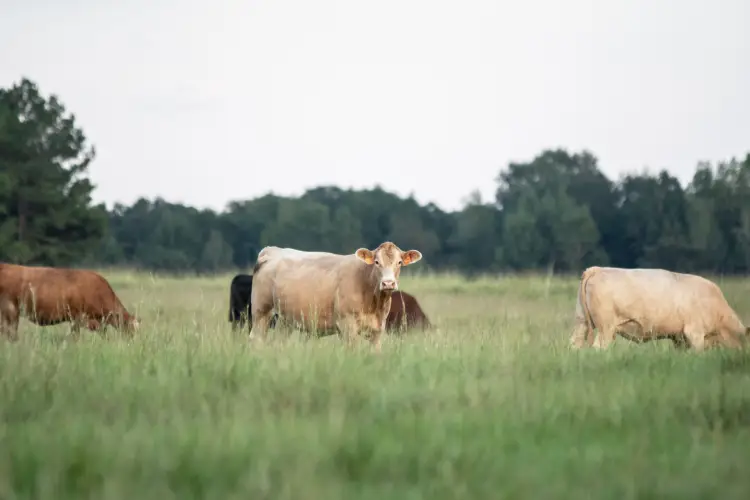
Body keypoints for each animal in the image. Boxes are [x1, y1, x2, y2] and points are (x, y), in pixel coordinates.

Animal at [0, 263, 140, 340]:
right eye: (130, 328)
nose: (132, 342)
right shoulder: (78, 318)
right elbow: (76, 336)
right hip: (11, 311)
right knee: (10, 332)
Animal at [249, 241, 423, 351]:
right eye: (376, 262)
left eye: (399, 262)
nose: (388, 283)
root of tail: (272, 250)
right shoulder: (348, 326)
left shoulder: (377, 330)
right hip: (262, 312)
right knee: (257, 339)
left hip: (285, 320)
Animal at [569, 266, 749, 351]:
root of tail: (597, 269)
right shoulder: (695, 333)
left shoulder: (679, 338)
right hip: (606, 327)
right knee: (599, 347)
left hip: (581, 321)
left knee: (574, 344)